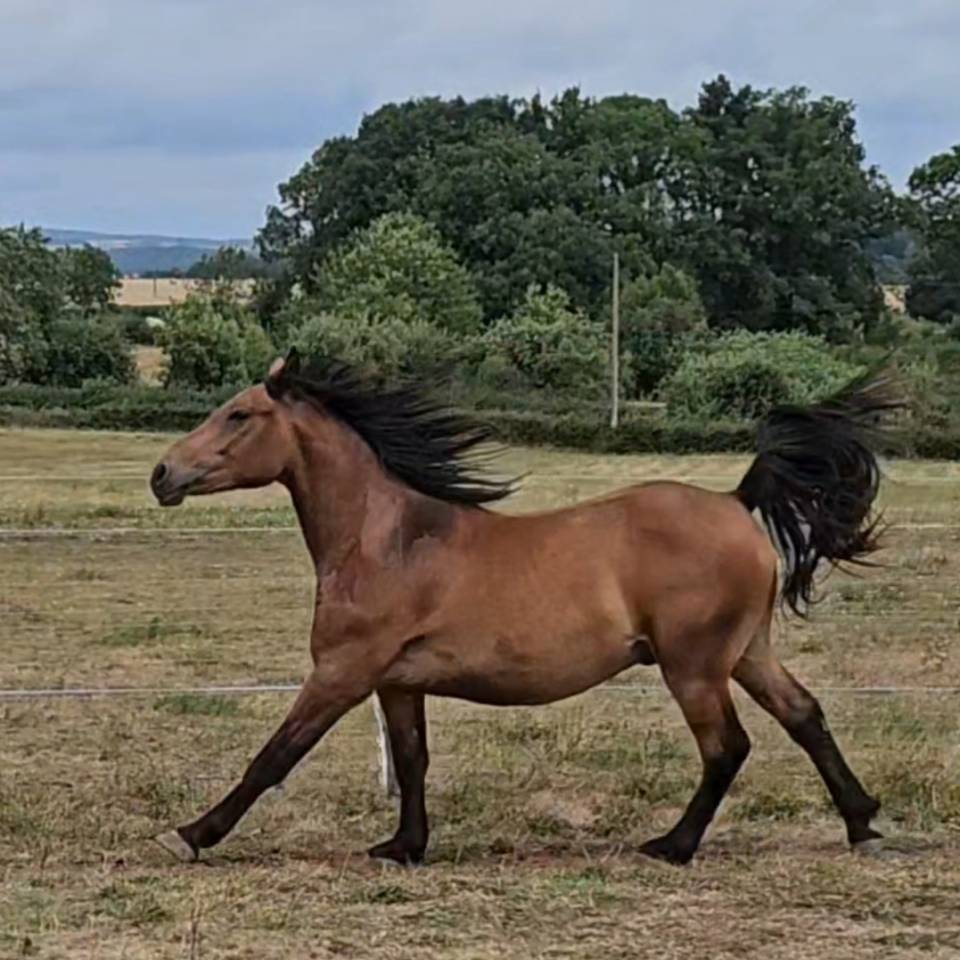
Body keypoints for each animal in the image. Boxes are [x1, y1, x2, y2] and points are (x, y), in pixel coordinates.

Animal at [149, 349, 901, 866]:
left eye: (239, 414)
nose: (162, 475)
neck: (388, 540)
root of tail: (735, 502)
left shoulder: (341, 673)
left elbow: (275, 755)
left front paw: (192, 833)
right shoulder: (395, 682)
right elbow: (412, 758)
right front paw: (404, 846)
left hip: (693, 666)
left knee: (727, 746)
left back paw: (673, 845)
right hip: (745, 652)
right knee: (804, 715)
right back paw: (862, 822)